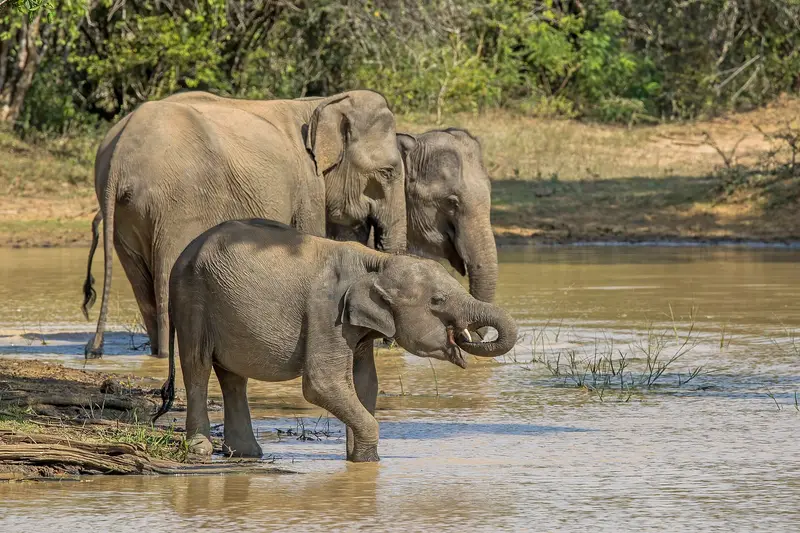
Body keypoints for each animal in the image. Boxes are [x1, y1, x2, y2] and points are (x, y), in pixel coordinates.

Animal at [80, 89, 407, 359]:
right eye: (387, 172)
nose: (386, 344)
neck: (321, 103)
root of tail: (119, 154)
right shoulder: (307, 183)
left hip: (125, 216)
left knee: (140, 279)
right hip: (175, 201)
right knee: (166, 268)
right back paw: (167, 352)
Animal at [151, 218, 517, 462]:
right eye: (438, 301)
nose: (464, 334)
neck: (376, 262)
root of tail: (183, 254)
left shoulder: (356, 325)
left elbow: (365, 383)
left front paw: (358, 460)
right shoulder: (326, 311)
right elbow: (322, 384)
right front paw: (370, 461)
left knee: (232, 376)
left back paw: (247, 453)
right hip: (192, 298)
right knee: (197, 365)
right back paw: (202, 450)